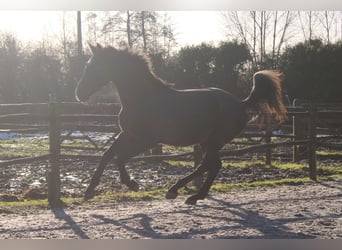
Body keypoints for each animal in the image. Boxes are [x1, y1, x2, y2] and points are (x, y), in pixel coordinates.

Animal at [75, 44, 286, 205]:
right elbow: (106, 155)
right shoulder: (127, 134)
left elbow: (119, 159)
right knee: (211, 165)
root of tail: (241, 104)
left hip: (214, 141)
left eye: (95, 67)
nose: (79, 93)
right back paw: (189, 194)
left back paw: (182, 193)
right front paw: (89, 191)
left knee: (210, 165)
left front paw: (132, 184)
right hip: (207, 142)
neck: (143, 99)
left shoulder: (147, 141)